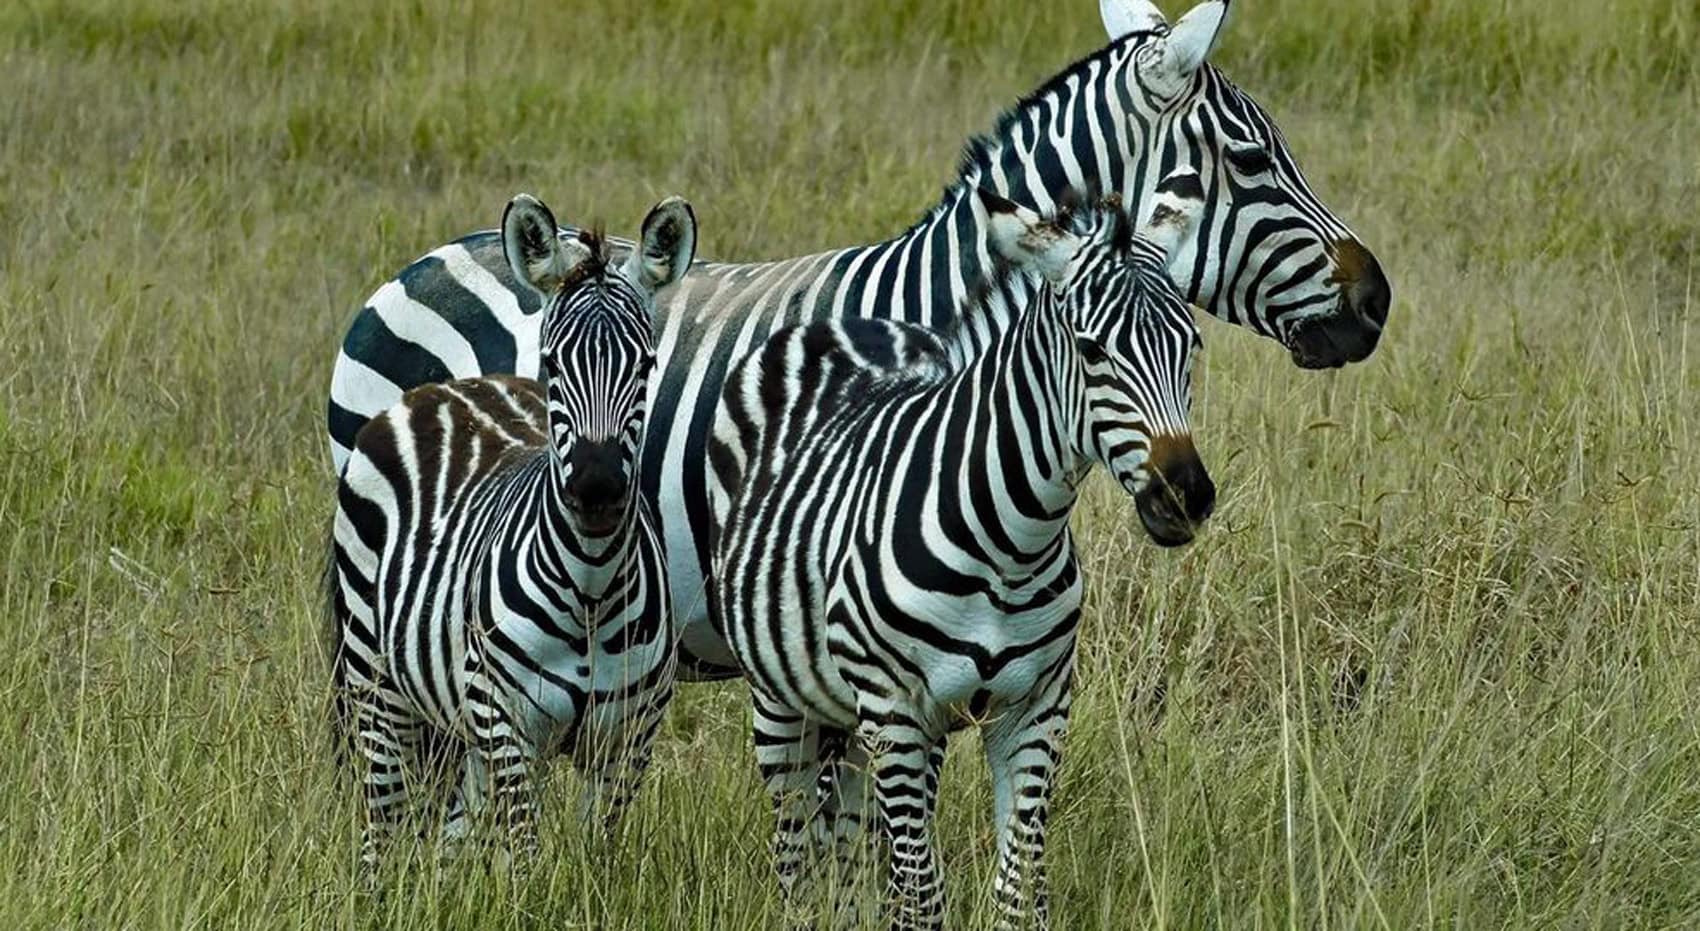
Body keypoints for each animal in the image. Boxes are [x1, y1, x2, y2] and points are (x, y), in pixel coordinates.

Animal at [327, 194, 693, 868]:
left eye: (648, 363)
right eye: (550, 363)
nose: (597, 489)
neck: (591, 587)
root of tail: (447, 387)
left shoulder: (629, 739)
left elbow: (594, 862)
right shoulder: (509, 722)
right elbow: (523, 858)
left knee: (450, 835)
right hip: (376, 678)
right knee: (380, 821)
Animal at [705, 171, 1213, 929]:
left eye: (1192, 347)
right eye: (1092, 350)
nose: (1186, 497)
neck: (1012, 549)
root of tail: (837, 322)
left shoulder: (1036, 710)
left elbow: (1017, 892)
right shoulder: (897, 710)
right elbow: (921, 898)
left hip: (863, 720)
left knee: (848, 839)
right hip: (784, 699)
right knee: (796, 849)